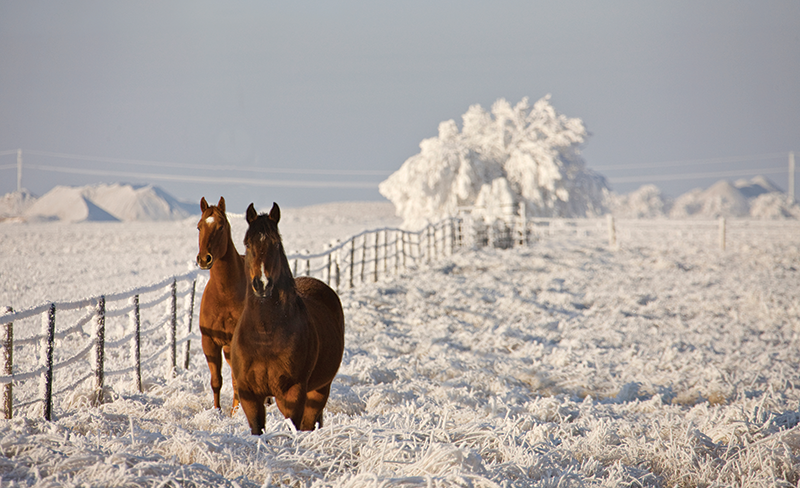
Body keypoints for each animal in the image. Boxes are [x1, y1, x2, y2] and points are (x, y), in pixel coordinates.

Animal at [231, 202, 345, 433]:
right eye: (247, 244)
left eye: (276, 243)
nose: (262, 284)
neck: (265, 335)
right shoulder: (250, 396)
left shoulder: (292, 394)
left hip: (319, 390)